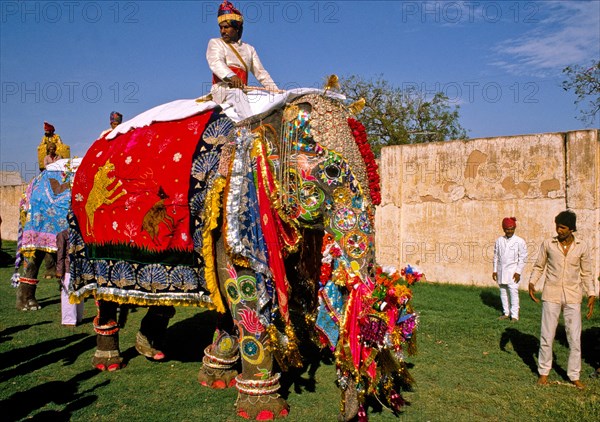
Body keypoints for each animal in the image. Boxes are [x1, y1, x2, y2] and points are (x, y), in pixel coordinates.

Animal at [68, 87, 420, 420]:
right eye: (333, 171)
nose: (347, 411)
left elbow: (228, 291)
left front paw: (215, 376)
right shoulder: (234, 208)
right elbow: (243, 287)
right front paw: (263, 409)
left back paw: (150, 350)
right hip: (85, 238)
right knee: (103, 294)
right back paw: (109, 362)